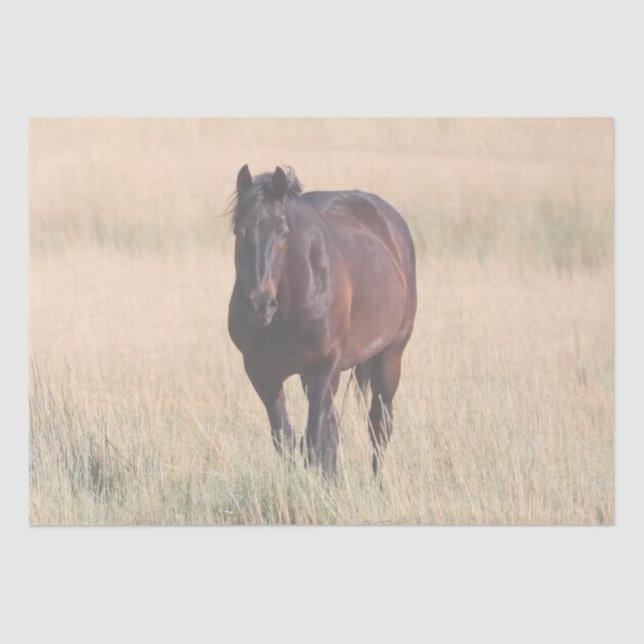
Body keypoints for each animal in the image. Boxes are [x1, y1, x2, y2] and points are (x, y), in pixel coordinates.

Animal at [227, 165, 417, 480]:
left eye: (283, 233)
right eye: (238, 232)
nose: (260, 304)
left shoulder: (324, 365)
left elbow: (316, 438)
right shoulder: (261, 373)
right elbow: (286, 437)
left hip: (390, 354)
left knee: (379, 424)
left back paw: (377, 483)